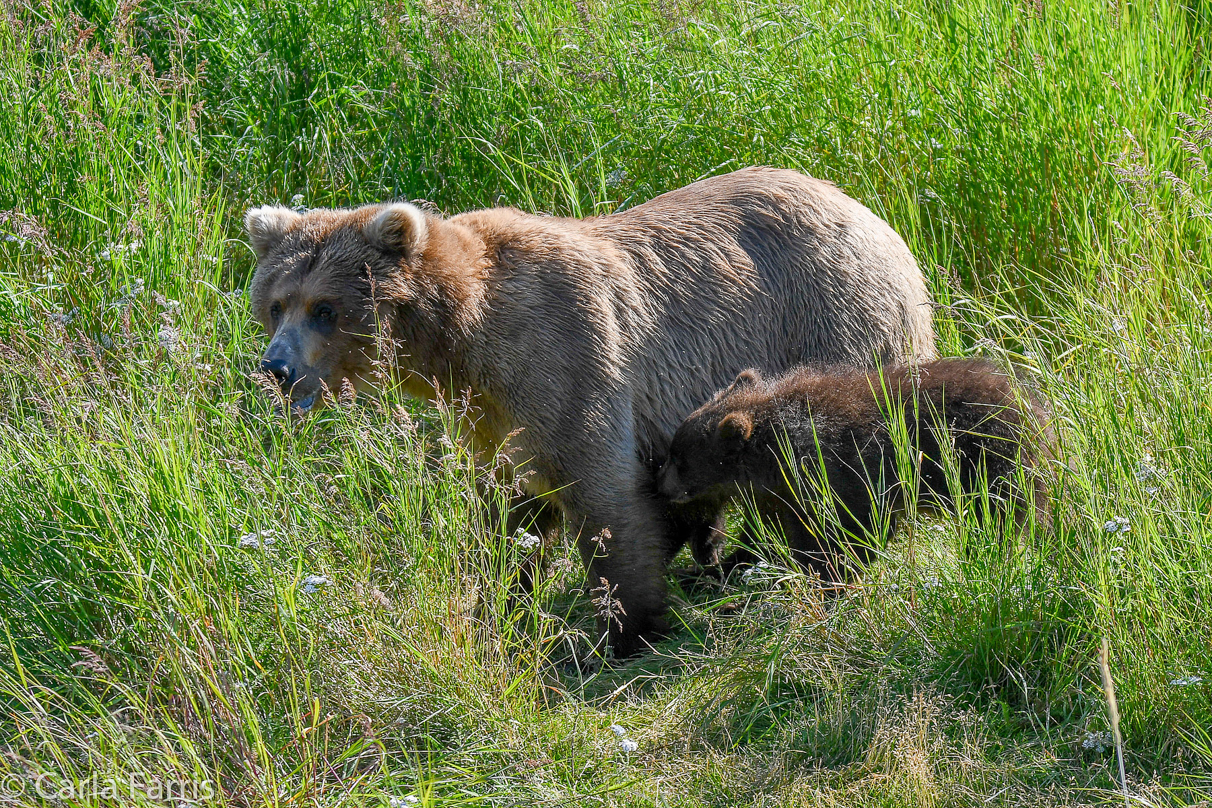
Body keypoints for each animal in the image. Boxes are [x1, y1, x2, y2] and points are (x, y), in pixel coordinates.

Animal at [241, 165, 930, 658]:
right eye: (276, 303)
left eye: (325, 308)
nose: (276, 368)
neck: (463, 341)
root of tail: (878, 221)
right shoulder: (489, 415)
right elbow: (509, 508)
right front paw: (499, 601)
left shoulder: (566, 355)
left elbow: (603, 494)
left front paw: (628, 628)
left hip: (834, 328)